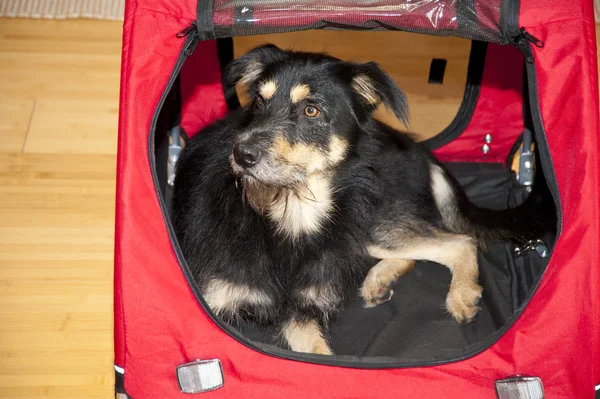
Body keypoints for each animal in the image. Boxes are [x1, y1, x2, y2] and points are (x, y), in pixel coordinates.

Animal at [170, 44, 548, 356]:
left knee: (459, 240)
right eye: (260, 101)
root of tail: (419, 150)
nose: (242, 154)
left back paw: (460, 294)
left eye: (311, 111)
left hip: (373, 220)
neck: (287, 213)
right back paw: (380, 280)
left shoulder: (303, 309)